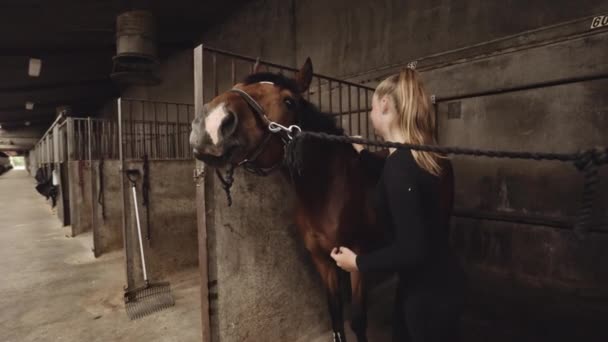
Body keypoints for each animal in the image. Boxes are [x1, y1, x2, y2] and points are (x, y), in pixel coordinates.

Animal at [189, 58, 452, 340]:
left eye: (289, 101)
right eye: (237, 85)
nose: (211, 124)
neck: (326, 193)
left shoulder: (357, 257)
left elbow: (358, 320)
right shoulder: (323, 261)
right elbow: (335, 315)